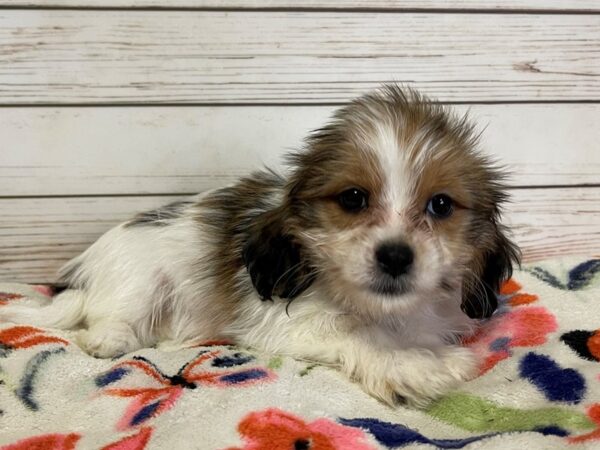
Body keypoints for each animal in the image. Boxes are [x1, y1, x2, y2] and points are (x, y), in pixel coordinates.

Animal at [0, 86, 516, 406]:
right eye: (353, 198)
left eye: (441, 204)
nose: (395, 255)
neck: (381, 311)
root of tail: (86, 279)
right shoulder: (287, 326)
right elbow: (355, 337)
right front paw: (413, 368)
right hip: (139, 280)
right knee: (108, 318)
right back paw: (112, 338)